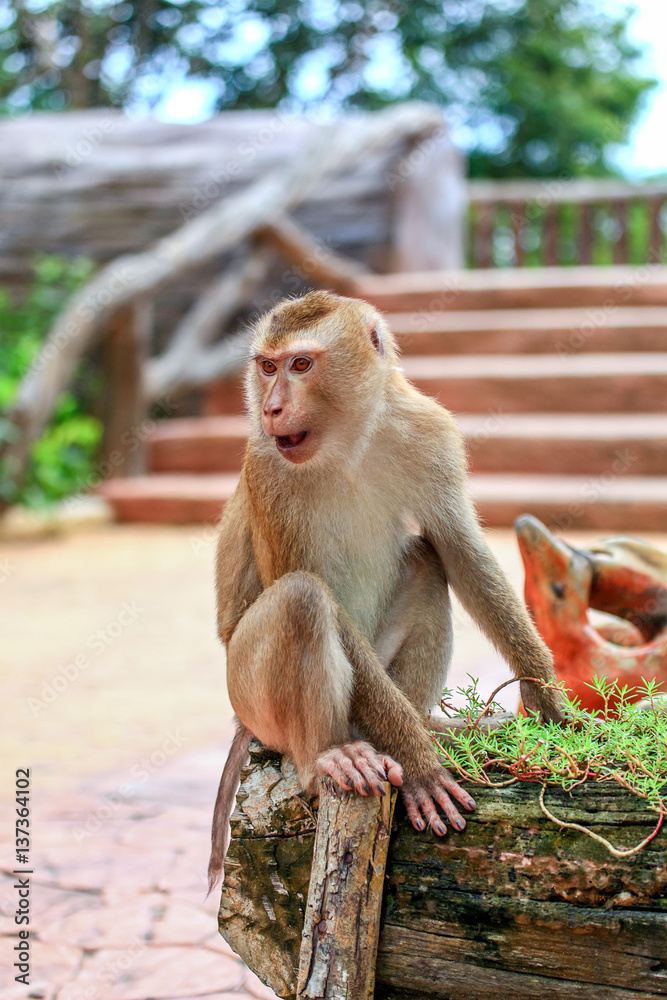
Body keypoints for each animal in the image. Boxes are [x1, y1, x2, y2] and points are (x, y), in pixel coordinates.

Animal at [208, 290, 564, 891]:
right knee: (302, 598)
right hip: (248, 694)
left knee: (424, 561)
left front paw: (548, 698)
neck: (347, 442)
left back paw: (423, 723)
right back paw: (328, 757)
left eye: (300, 364)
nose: (271, 408)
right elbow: (307, 587)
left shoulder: (428, 432)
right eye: (267, 367)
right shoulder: (266, 467)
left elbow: (457, 549)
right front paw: (420, 766)